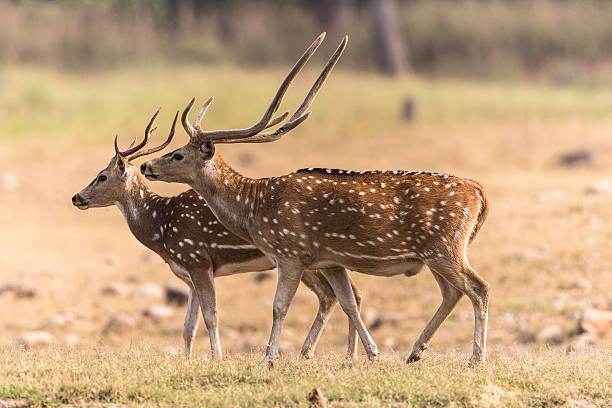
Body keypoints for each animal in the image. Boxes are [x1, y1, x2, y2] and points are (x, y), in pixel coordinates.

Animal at [71, 110, 364, 358]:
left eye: (101, 176)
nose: (76, 197)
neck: (162, 229)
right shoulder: (189, 274)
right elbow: (188, 326)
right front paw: (187, 361)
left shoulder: (198, 260)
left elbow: (211, 316)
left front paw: (217, 358)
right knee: (350, 293)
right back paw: (344, 355)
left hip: (300, 257)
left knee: (332, 295)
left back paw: (324, 354)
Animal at [141, 32, 490, 364]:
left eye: (178, 154)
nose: (146, 166)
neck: (254, 208)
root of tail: (479, 192)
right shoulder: (331, 260)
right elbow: (349, 302)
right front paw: (372, 353)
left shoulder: (289, 253)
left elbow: (279, 306)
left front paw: (270, 357)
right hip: (438, 254)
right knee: (451, 293)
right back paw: (415, 351)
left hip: (444, 248)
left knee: (478, 288)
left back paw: (475, 358)